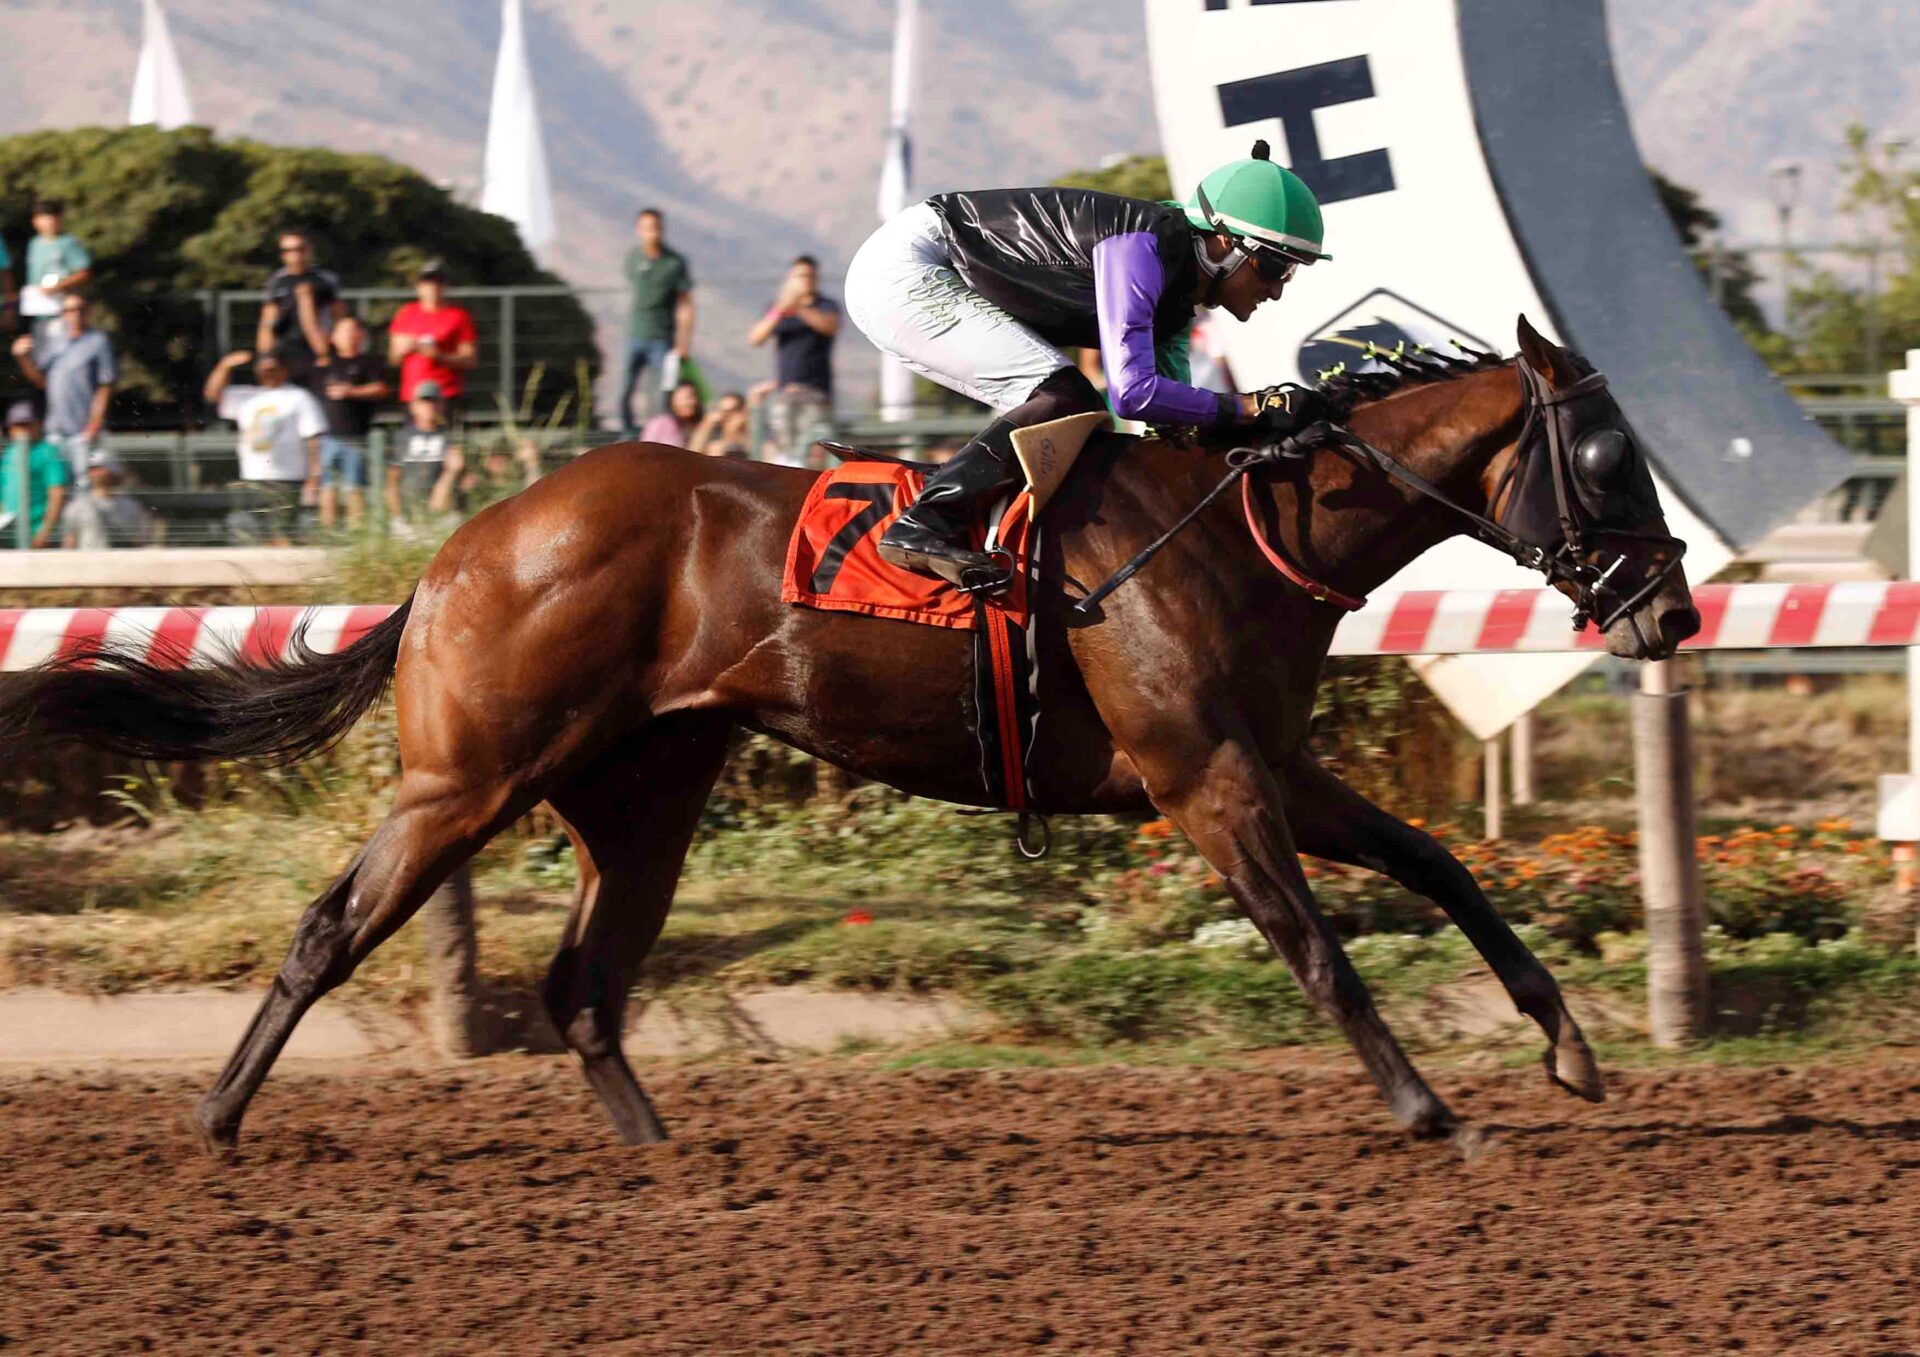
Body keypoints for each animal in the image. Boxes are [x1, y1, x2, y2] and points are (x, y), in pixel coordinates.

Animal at [0, 317, 1698, 1156]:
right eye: (1611, 456)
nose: (1675, 614)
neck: (1249, 525)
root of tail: (461, 545)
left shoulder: (1272, 766)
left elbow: (1444, 869)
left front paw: (1569, 1048)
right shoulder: (1205, 782)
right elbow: (1320, 946)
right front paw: (1425, 1105)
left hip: (643, 793)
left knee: (581, 985)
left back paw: (666, 1151)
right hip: (467, 776)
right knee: (331, 928)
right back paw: (218, 1117)